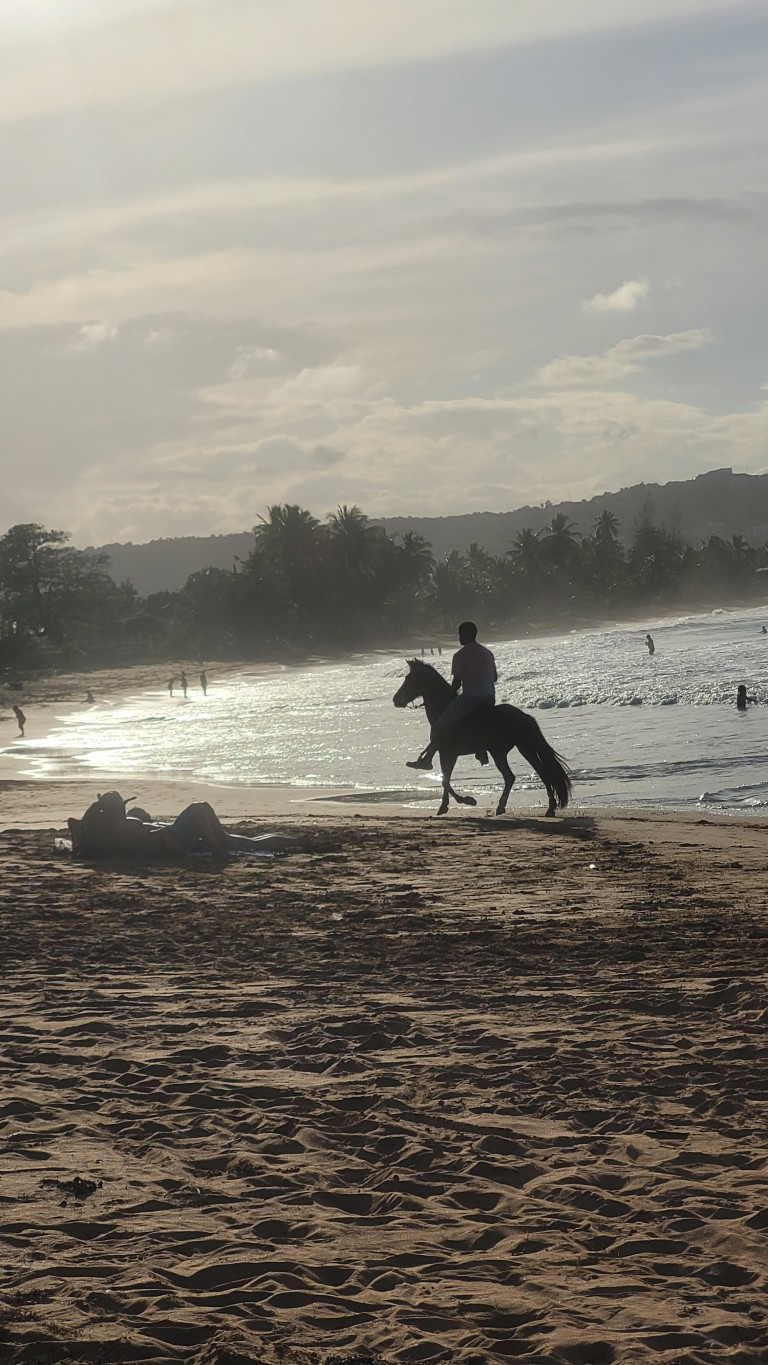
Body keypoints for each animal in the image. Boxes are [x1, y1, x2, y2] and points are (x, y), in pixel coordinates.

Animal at [395, 657, 570, 813]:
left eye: (409, 679)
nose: (395, 700)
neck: (442, 708)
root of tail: (524, 716)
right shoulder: (449, 755)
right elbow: (446, 779)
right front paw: (444, 806)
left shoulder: (447, 753)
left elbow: (445, 781)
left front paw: (467, 800)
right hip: (509, 751)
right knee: (521, 775)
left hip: (515, 749)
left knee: (530, 775)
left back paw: (542, 807)